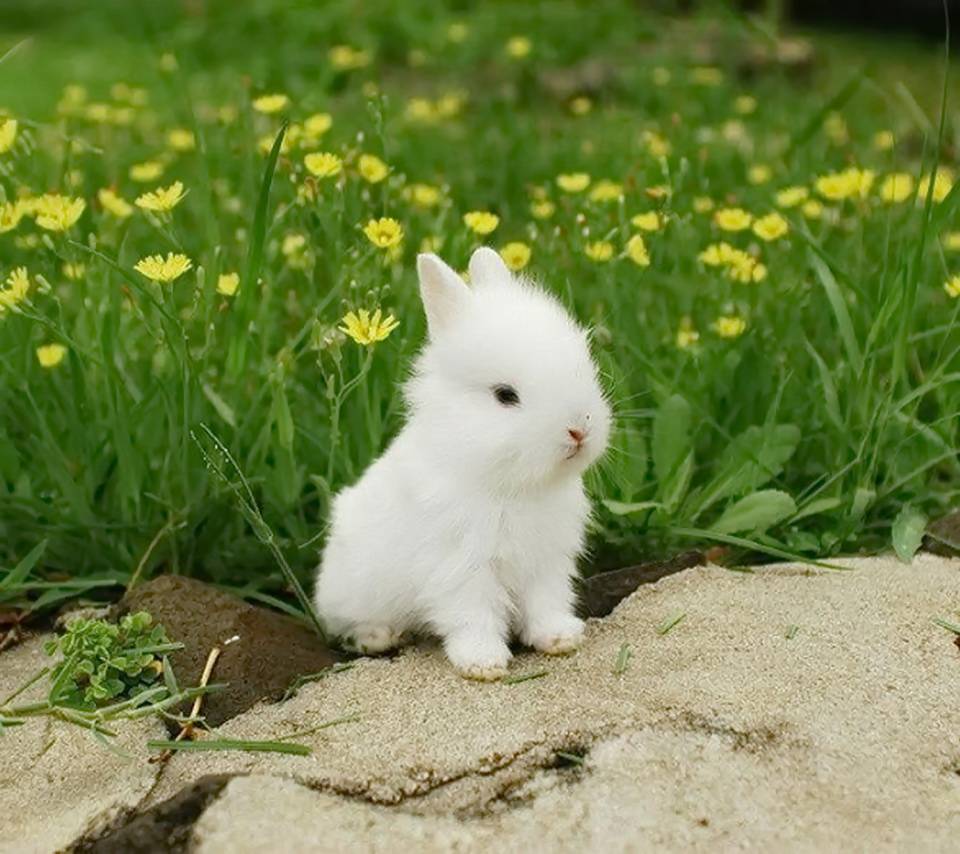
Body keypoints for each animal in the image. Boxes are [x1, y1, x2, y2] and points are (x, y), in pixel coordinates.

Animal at [316, 247, 616, 684]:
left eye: (582, 369)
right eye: (505, 395)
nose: (579, 429)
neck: (511, 485)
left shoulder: (545, 562)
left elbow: (545, 602)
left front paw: (561, 638)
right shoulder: (461, 569)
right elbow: (473, 616)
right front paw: (483, 664)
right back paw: (378, 637)